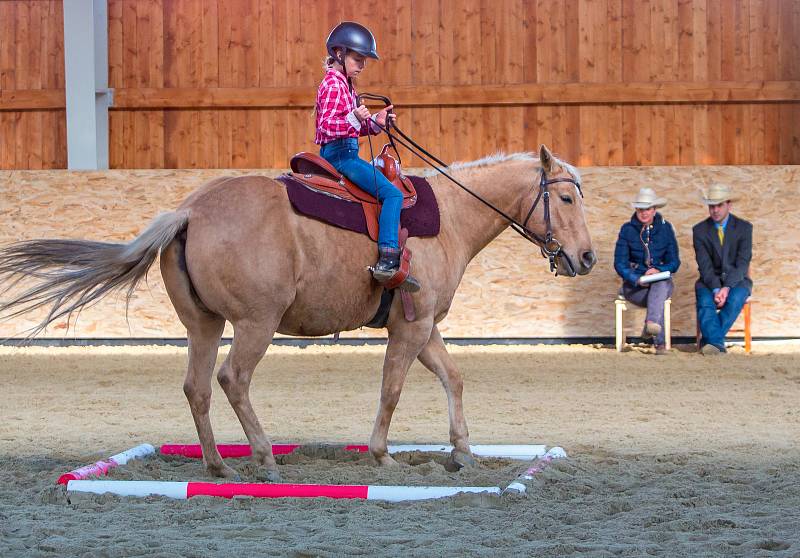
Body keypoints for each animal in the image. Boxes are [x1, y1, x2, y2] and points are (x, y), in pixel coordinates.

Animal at [0, 144, 592, 482]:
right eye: (565, 199)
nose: (585, 257)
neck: (448, 217)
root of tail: (190, 210)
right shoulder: (411, 327)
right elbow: (393, 389)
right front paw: (383, 455)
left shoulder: (425, 328)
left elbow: (454, 378)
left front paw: (462, 453)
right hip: (255, 325)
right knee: (233, 379)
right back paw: (264, 458)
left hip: (203, 325)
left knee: (197, 387)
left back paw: (217, 465)